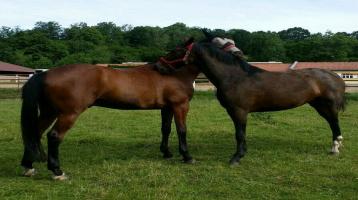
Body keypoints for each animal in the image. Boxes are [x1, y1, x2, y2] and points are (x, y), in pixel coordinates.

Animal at [21, 40, 199, 180]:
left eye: (178, 50)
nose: (159, 66)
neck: (177, 76)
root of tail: (45, 74)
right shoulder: (180, 106)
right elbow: (182, 130)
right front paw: (187, 156)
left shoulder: (167, 108)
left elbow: (166, 129)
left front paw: (167, 153)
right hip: (68, 114)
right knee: (54, 136)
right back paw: (57, 171)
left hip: (49, 112)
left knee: (35, 132)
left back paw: (30, 164)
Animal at [155, 36, 346, 166]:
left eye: (177, 51)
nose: (158, 66)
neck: (234, 77)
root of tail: (335, 76)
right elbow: (240, 134)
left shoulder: (239, 111)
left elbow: (239, 134)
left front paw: (236, 158)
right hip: (318, 105)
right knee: (331, 123)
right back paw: (334, 148)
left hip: (327, 105)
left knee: (334, 122)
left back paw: (336, 147)